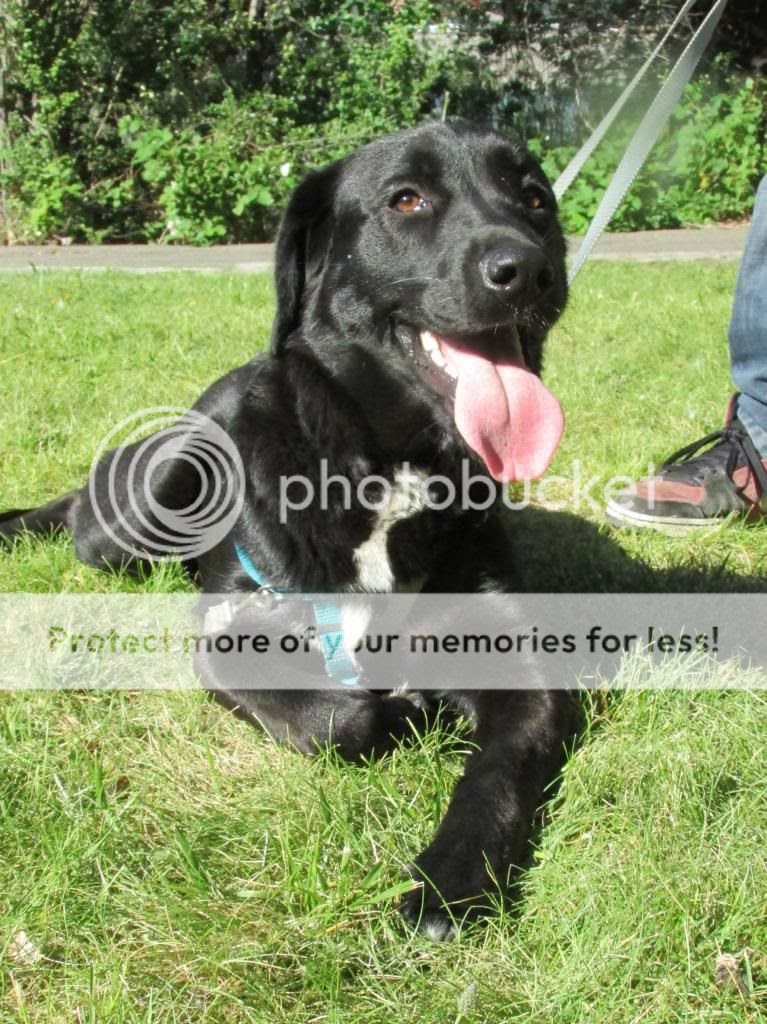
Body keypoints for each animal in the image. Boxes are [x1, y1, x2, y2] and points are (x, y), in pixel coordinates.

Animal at [1, 121, 572, 939]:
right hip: (134, 517)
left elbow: (500, 771)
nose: (527, 271)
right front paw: (400, 711)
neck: (387, 467)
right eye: (406, 199)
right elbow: (340, 721)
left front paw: (450, 882)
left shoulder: (517, 658)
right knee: (78, 515)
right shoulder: (232, 632)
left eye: (534, 199)